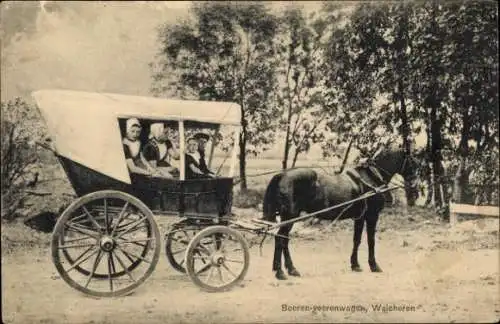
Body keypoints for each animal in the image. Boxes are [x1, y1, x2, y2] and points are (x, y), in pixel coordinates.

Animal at [260, 143, 420, 280]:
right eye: (412, 160)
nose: (414, 185)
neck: (373, 178)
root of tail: (281, 175)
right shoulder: (372, 216)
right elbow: (371, 241)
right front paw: (374, 266)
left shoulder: (359, 217)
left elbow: (357, 240)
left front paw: (355, 265)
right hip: (289, 216)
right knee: (280, 239)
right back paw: (281, 272)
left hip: (288, 217)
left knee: (284, 239)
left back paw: (290, 269)